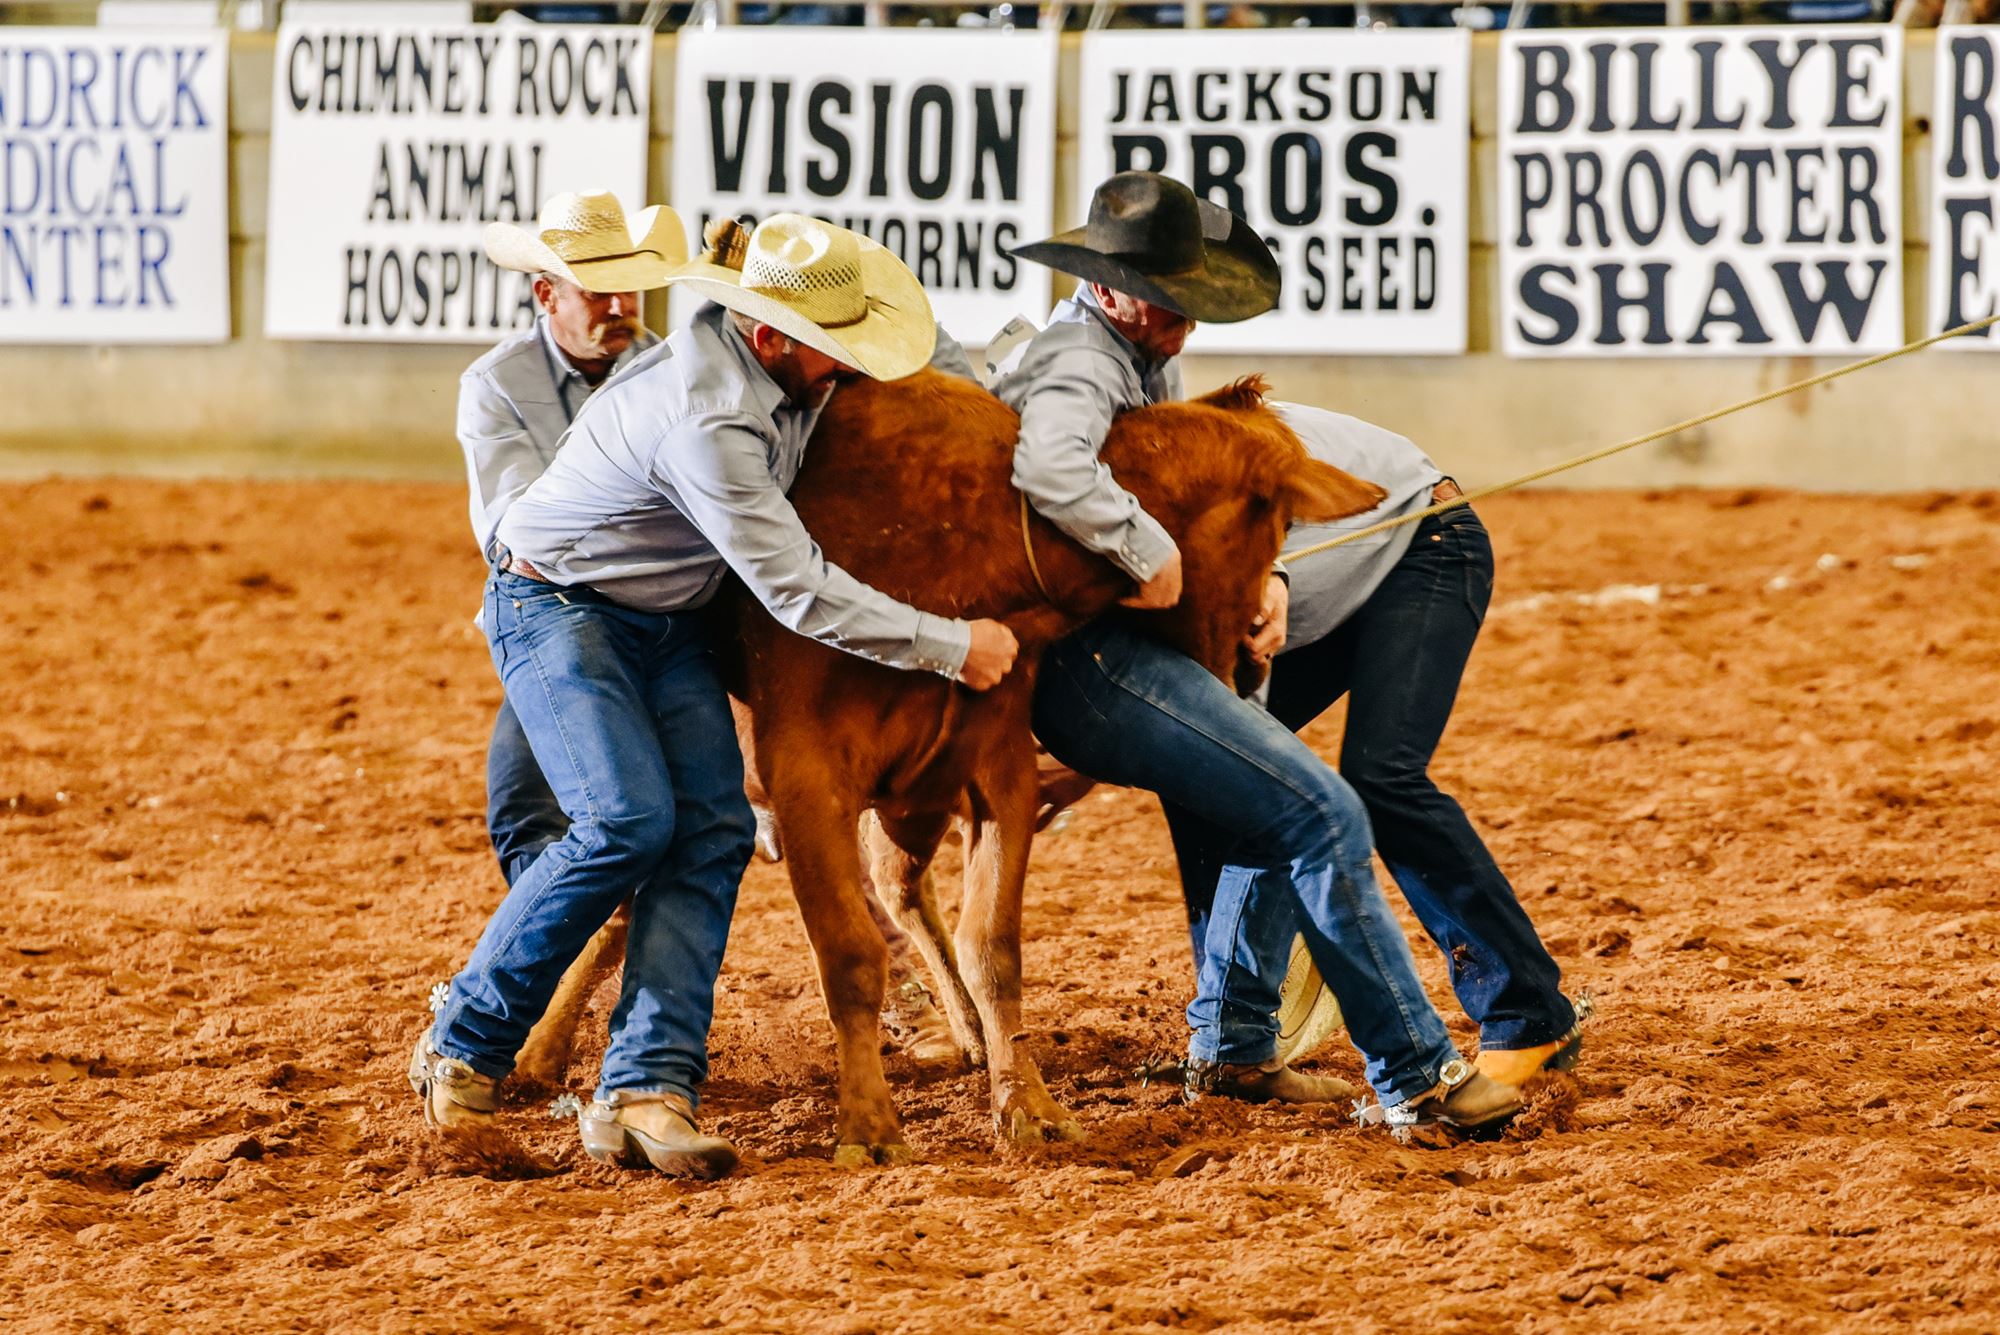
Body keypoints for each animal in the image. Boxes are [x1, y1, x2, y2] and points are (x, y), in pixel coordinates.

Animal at [521, 369, 1385, 1164]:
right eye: (1278, 523)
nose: (1251, 662)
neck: (974, 533)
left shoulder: (998, 769)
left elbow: (992, 947)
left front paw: (1028, 1105)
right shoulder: (807, 775)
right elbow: (849, 953)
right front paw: (869, 1124)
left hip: (913, 801)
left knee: (901, 893)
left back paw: (964, 1030)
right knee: (626, 903)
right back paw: (535, 1053)